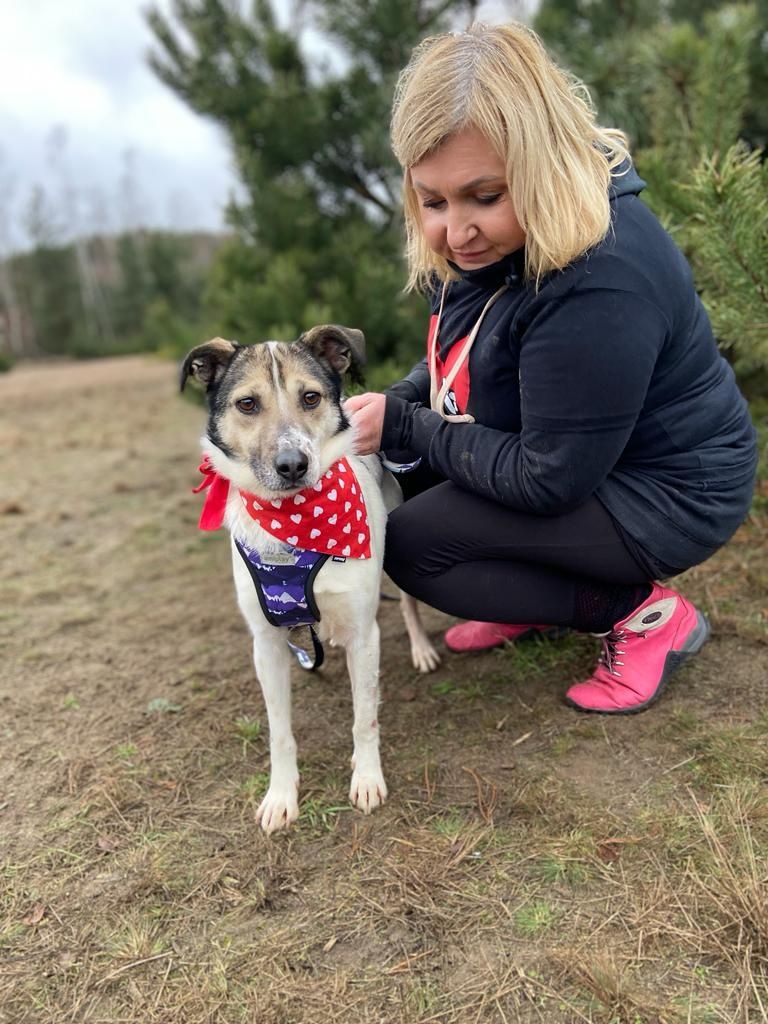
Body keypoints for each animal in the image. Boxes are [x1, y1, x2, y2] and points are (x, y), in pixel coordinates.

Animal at [180, 325, 438, 831]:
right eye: (247, 404)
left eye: (311, 397)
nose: (292, 464)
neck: (296, 522)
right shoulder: (266, 643)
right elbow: (279, 731)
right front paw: (281, 796)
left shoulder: (364, 634)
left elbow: (364, 718)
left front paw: (367, 777)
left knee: (409, 605)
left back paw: (421, 648)